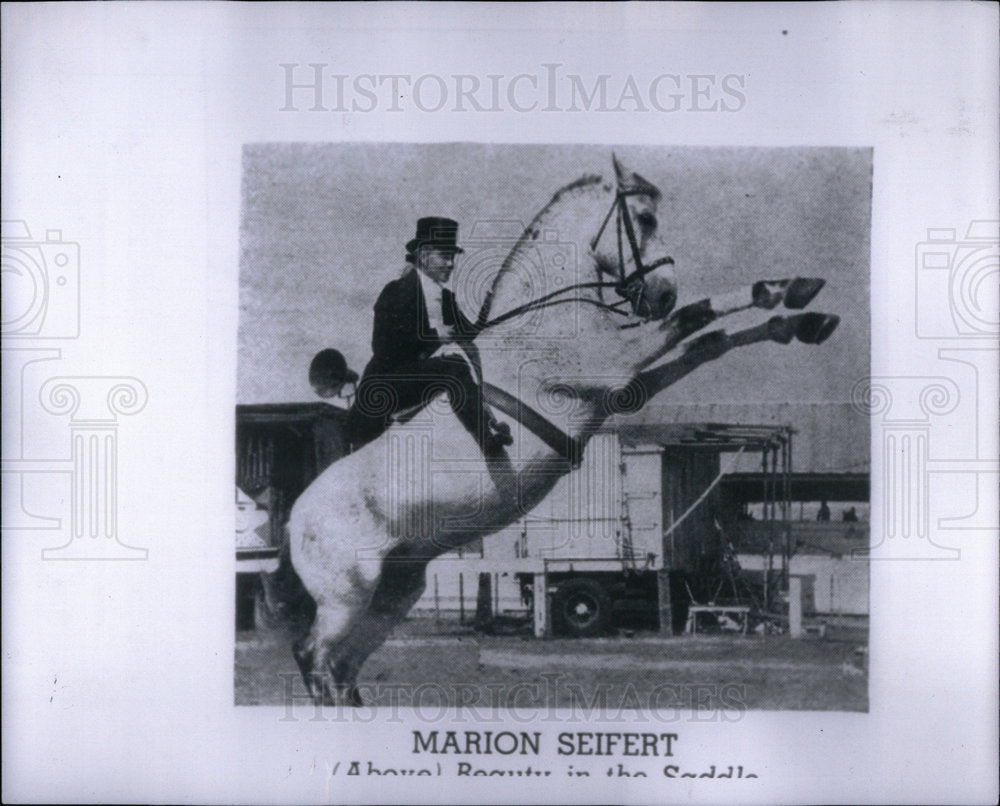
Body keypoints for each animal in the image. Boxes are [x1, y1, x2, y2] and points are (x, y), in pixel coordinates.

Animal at [288, 155, 836, 704]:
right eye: (645, 218)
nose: (662, 294)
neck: (547, 318)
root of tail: (294, 520)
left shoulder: (624, 387)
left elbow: (710, 342)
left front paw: (801, 316)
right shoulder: (613, 370)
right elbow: (693, 318)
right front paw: (780, 292)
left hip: (394, 591)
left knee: (344, 668)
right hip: (347, 596)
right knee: (316, 659)